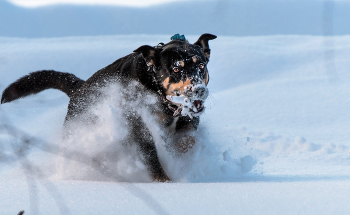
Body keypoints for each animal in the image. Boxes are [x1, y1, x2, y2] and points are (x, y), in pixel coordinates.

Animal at [1, 33, 217, 181]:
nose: (199, 90)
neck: (157, 91)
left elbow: (187, 140)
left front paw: (181, 162)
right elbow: (153, 161)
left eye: (201, 66)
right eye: (176, 69)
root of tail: (79, 89)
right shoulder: (138, 128)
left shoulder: (188, 121)